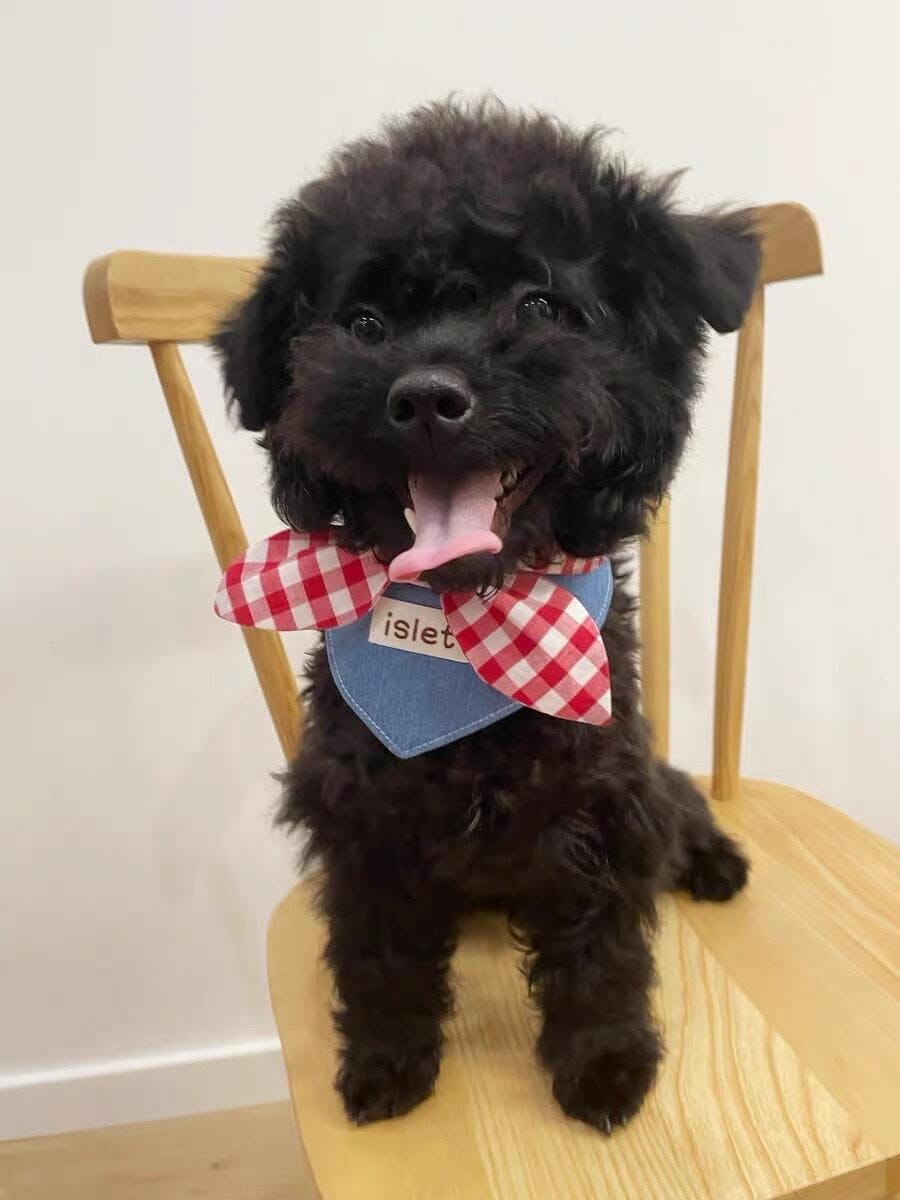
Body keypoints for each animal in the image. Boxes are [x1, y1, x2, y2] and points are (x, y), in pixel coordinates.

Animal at [214, 99, 755, 1133]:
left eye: (540, 307)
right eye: (364, 323)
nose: (427, 396)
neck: (468, 634)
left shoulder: (600, 801)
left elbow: (600, 953)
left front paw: (605, 1068)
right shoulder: (362, 823)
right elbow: (378, 958)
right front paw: (386, 1068)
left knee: (681, 803)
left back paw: (715, 863)